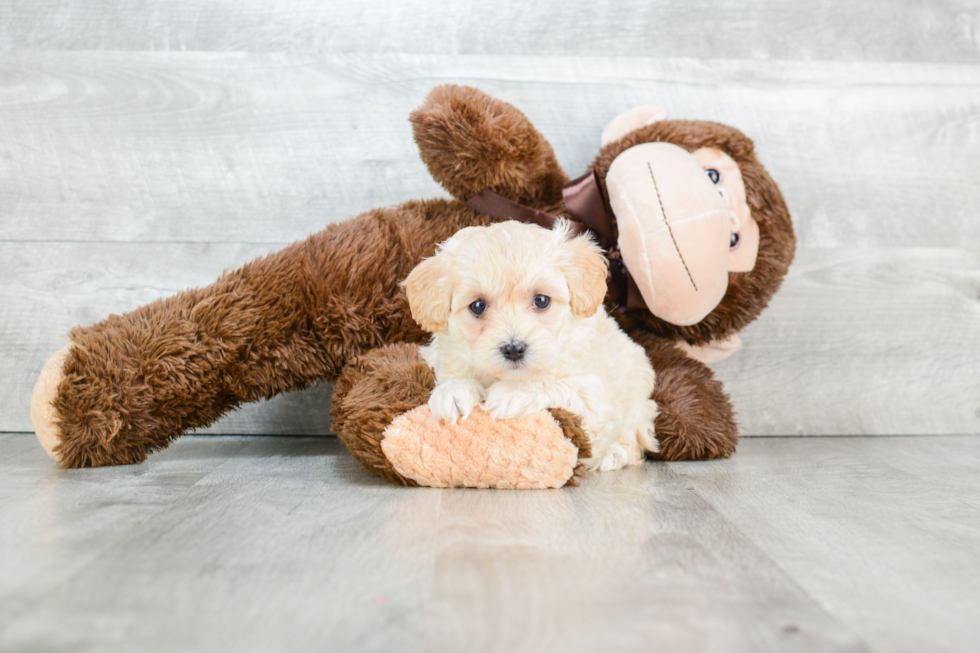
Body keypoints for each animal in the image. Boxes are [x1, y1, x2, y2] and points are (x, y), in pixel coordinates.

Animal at [402, 219, 664, 468]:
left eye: (541, 300)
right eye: (478, 306)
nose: (513, 349)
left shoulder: (595, 399)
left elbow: (560, 385)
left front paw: (513, 393)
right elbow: (452, 376)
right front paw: (452, 392)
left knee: (633, 438)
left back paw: (614, 454)